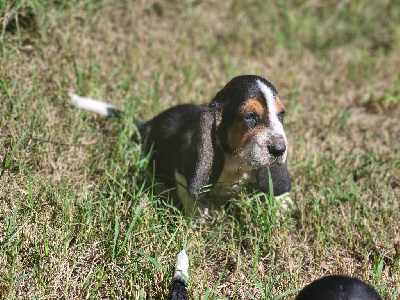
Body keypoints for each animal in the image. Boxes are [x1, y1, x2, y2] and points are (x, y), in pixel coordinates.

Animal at [70, 75, 290, 216]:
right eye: (250, 117)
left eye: (281, 115)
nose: (280, 150)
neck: (234, 162)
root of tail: (148, 124)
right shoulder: (182, 172)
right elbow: (189, 195)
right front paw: (200, 214)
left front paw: (283, 204)